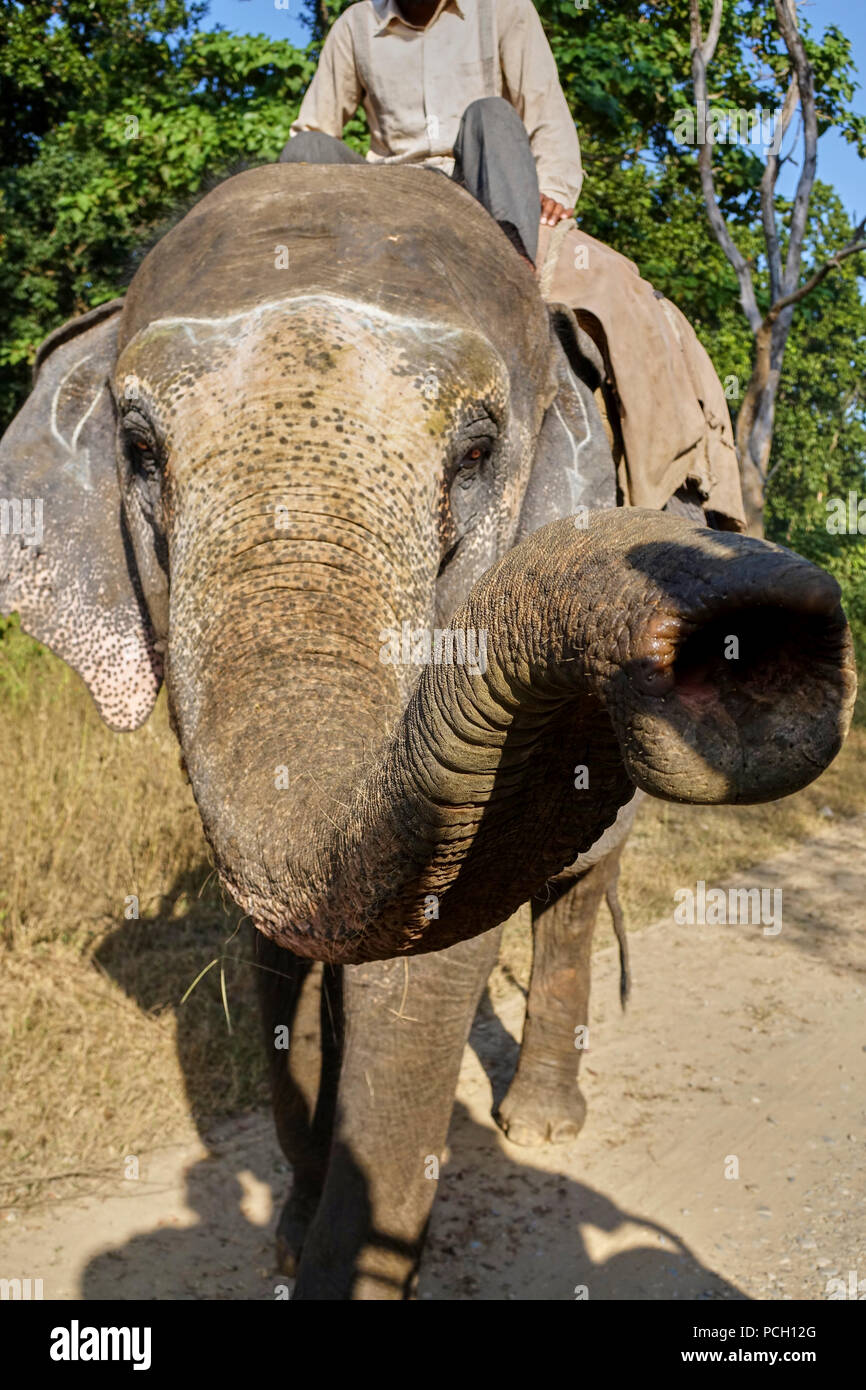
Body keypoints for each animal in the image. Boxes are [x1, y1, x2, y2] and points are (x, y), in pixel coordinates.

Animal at [0, 162, 856, 1301]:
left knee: (579, 889)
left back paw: (540, 1126)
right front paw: (290, 1233)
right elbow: (276, 951)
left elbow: (418, 975)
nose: (749, 623)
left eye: (477, 453)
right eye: (138, 450)